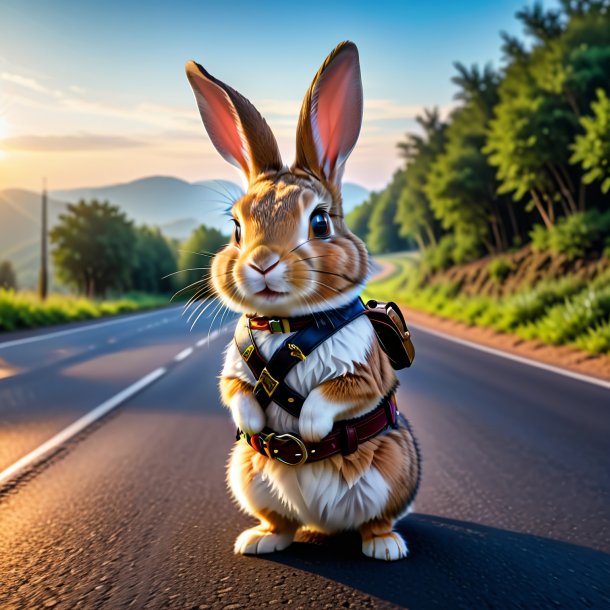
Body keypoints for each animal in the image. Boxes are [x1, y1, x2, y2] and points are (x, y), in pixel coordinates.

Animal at [184, 40, 418, 560]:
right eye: (236, 227)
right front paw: (254, 416)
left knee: (379, 517)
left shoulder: (364, 368)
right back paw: (260, 539)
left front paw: (309, 429)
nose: (262, 263)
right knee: (281, 521)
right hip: (244, 472)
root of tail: (323, 524)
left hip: (396, 466)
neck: (287, 325)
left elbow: (338, 392)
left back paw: (385, 545)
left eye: (319, 222)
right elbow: (235, 391)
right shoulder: (235, 368)